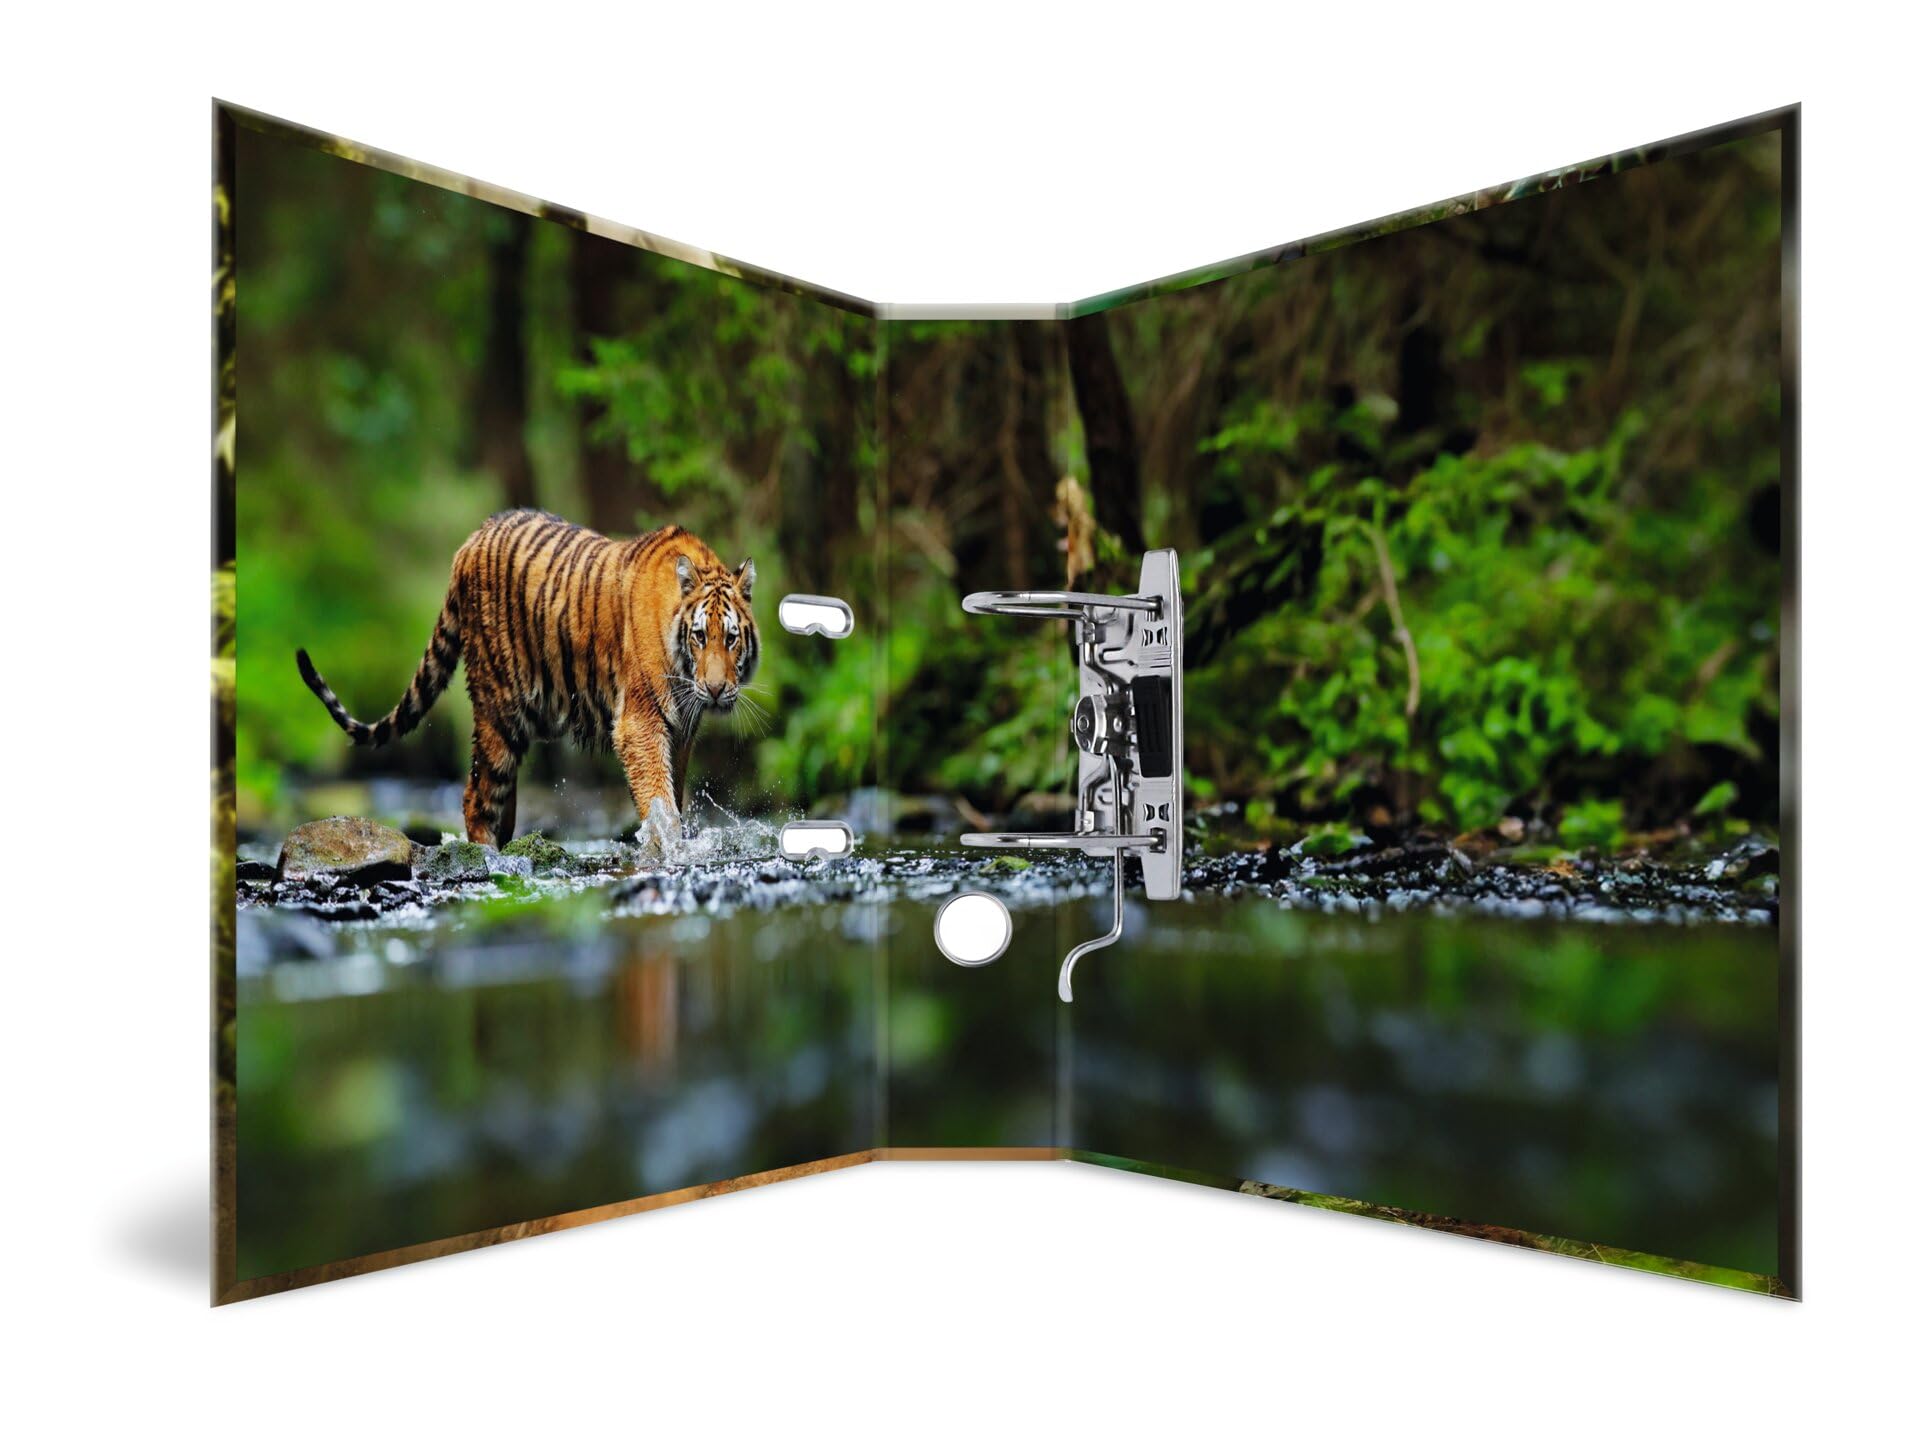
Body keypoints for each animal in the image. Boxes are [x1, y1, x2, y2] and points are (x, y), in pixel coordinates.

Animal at [296, 508, 759, 848]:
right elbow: (660, 800)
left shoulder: (682, 730)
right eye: (699, 637)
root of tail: (469, 542)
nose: (716, 689)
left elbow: (674, 793)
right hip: (498, 708)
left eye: (731, 639)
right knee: (476, 797)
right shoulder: (640, 722)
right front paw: (669, 845)